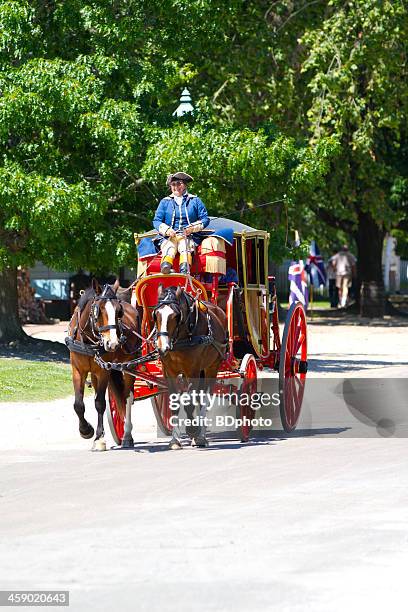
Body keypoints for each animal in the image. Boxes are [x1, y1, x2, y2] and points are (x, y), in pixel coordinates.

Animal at [67, 282, 142, 450]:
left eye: (119, 311)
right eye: (98, 310)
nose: (113, 343)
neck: (88, 340)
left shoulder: (103, 372)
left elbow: (100, 403)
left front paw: (99, 439)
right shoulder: (78, 371)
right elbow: (78, 404)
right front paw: (86, 430)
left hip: (130, 365)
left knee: (128, 397)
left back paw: (127, 435)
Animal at [154, 286, 228, 450]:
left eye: (175, 315)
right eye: (156, 314)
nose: (163, 347)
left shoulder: (192, 370)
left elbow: (189, 402)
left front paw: (192, 429)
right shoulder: (169, 372)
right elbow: (174, 403)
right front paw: (175, 440)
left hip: (212, 367)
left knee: (205, 397)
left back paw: (200, 436)